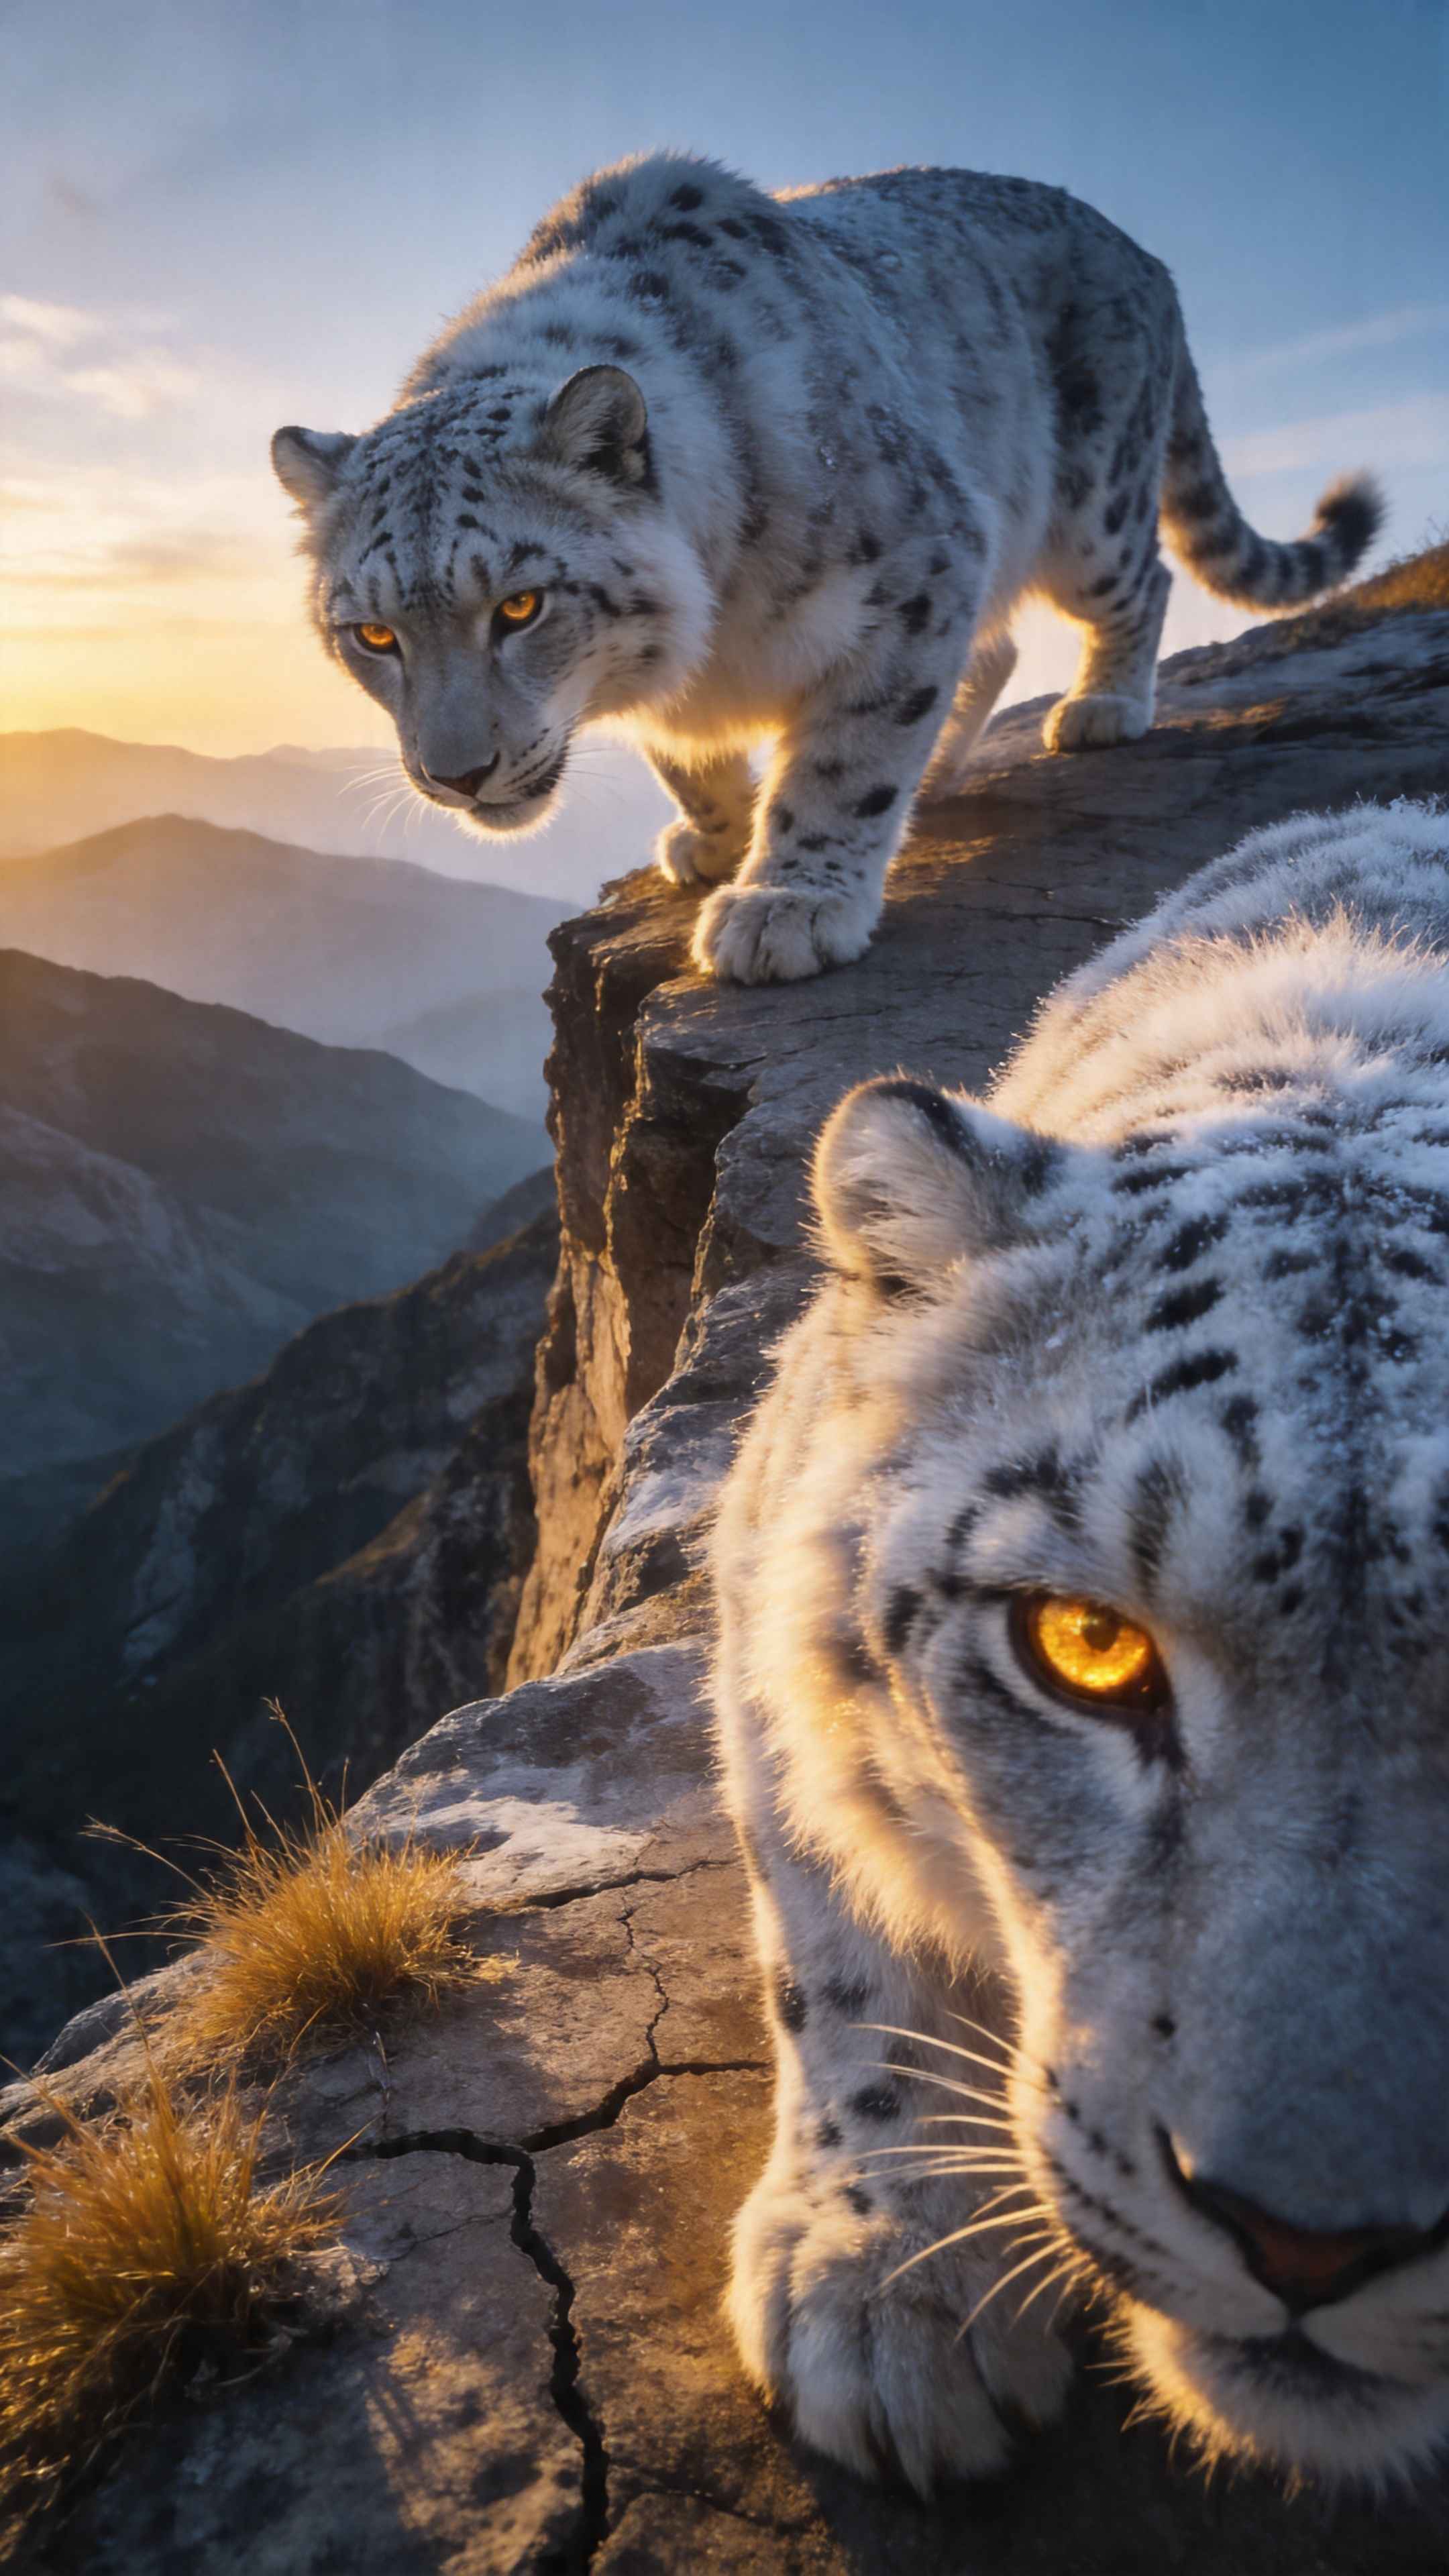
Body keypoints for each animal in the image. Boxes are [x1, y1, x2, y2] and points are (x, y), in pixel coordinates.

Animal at [272, 151, 1381, 986]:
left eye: (520, 606)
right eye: (372, 634)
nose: (455, 775)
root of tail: (1147, 258)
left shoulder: (922, 561)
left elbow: (851, 750)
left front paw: (784, 904)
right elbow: (685, 754)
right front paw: (716, 839)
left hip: (1088, 507)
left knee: (1135, 582)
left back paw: (1102, 709)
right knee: (995, 649)